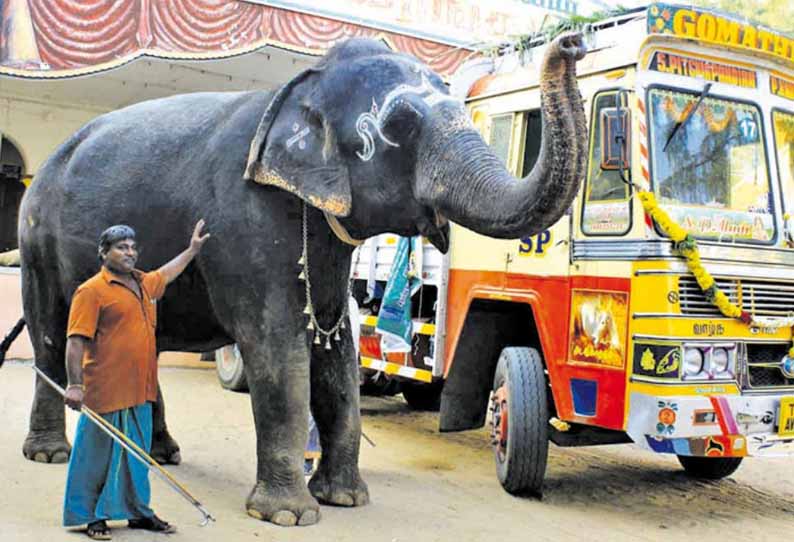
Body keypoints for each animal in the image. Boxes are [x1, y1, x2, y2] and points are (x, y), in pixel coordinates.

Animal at [17, 34, 588, 528]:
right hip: (36, 239)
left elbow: (336, 354)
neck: (298, 88)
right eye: (400, 125)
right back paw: (49, 454)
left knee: (144, 344)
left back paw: (163, 454)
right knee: (50, 337)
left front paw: (346, 499)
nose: (571, 42)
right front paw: (288, 515)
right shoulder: (247, 219)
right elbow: (278, 349)